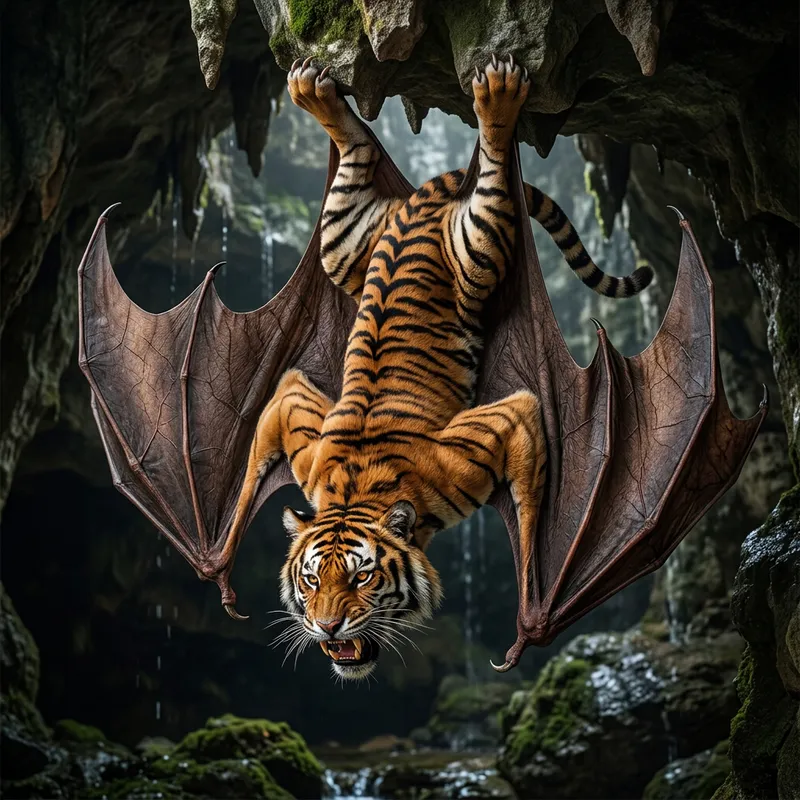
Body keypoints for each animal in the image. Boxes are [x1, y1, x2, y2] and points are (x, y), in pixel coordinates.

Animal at [226, 55, 653, 681]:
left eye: (362, 576)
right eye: (310, 580)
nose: (327, 627)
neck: (355, 495)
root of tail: (419, 203)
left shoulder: (508, 424)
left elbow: (531, 514)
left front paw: (526, 633)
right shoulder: (292, 410)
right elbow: (255, 459)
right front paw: (222, 571)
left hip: (476, 248)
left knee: (493, 171)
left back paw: (496, 96)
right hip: (344, 244)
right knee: (358, 148)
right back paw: (315, 94)